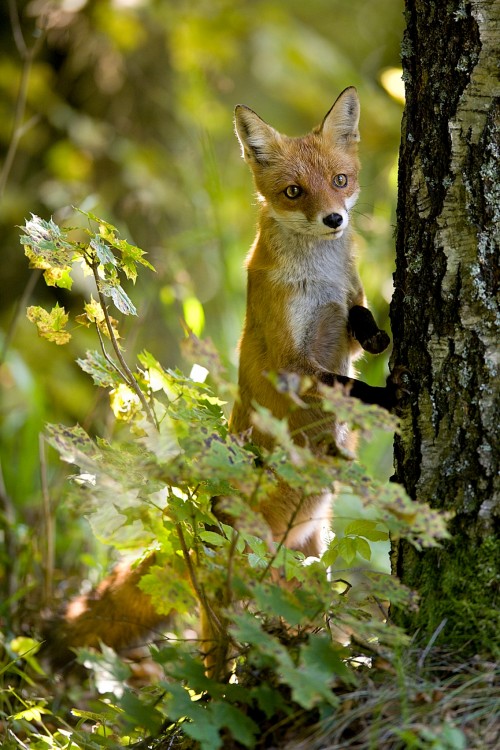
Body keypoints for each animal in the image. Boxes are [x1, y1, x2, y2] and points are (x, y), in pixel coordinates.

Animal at [45, 88, 392, 668]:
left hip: (308, 560)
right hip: (231, 605)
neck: (317, 280)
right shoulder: (289, 363)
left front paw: (380, 338)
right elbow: (346, 385)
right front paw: (390, 396)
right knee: (218, 661)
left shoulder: (342, 320)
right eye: (294, 191)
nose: (334, 219)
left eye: (340, 180)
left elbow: (360, 327)